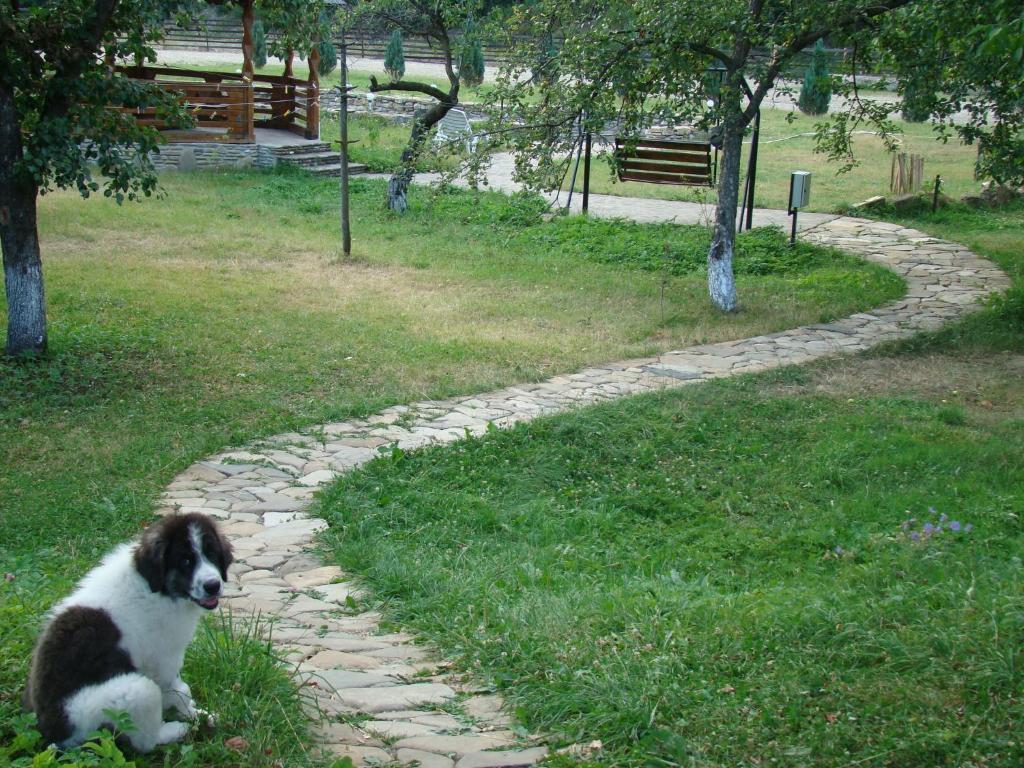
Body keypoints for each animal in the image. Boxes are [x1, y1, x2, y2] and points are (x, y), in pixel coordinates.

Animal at [23, 514, 232, 753]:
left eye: (212, 554)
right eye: (186, 561)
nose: (213, 586)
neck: (156, 588)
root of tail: (54, 737)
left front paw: (199, 714)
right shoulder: (164, 659)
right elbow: (181, 690)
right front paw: (191, 716)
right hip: (135, 692)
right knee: (146, 742)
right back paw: (174, 730)